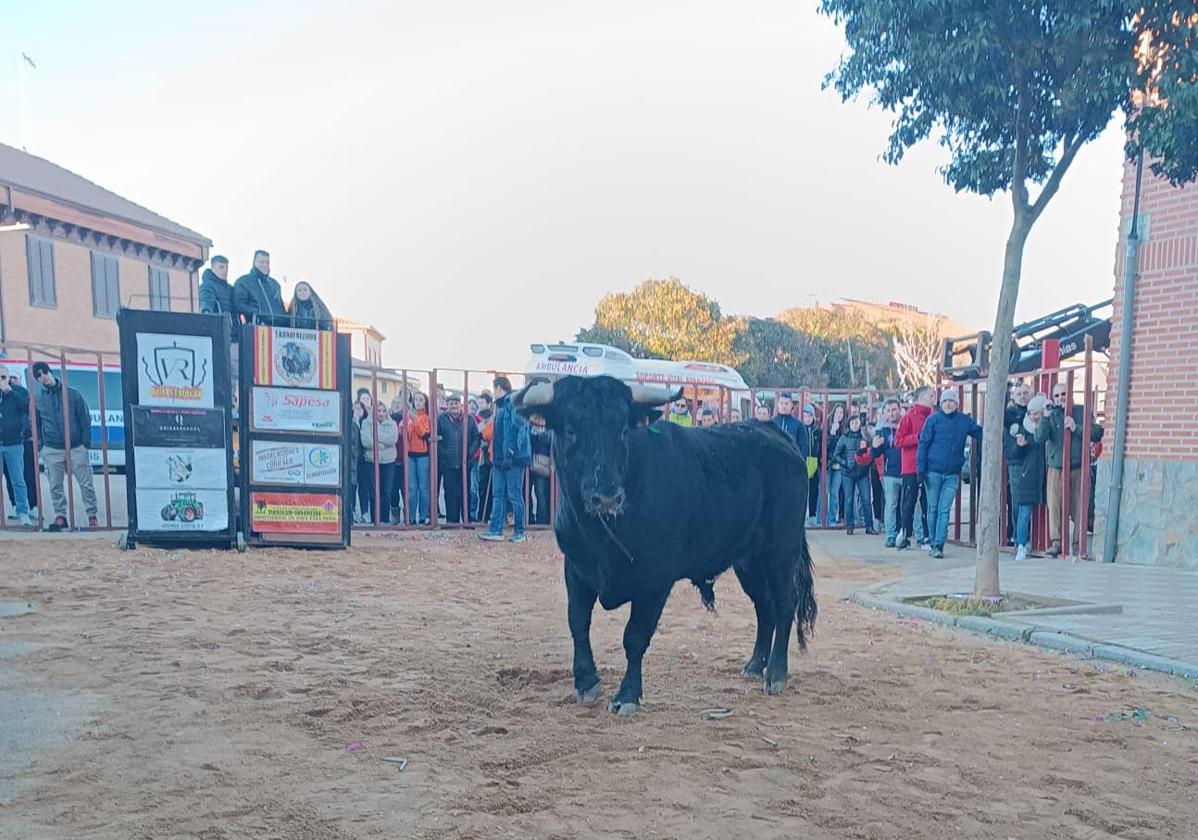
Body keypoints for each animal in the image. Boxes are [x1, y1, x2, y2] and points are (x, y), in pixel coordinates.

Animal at [515, 376, 814, 714]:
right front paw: (585, 681)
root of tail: (777, 435)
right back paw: (754, 665)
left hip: (781, 551)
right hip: (748, 560)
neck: (601, 534)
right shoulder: (576, 568)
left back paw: (776, 673)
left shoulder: (655, 580)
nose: (608, 497)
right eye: (570, 429)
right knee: (764, 605)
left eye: (623, 430)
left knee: (783, 603)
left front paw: (627, 695)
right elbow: (578, 622)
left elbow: (634, 636)